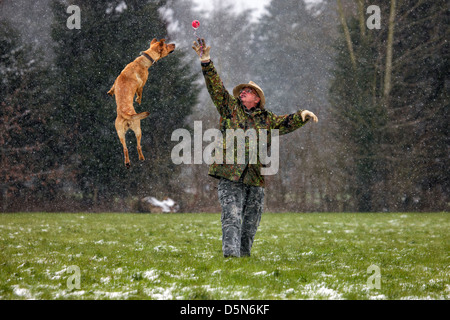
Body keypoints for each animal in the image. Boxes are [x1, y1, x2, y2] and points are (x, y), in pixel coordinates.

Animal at [107, 38, 176, 168]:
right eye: (166, 45)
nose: (174, 44)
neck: (142, 60)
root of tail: (125, 114)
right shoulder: (141, 85)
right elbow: (140, 94)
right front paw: (138, 100)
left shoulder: (116, 80)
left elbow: (112, 86)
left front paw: (110, 92)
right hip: (138, 129)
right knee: (138, 146)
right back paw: (141, 157)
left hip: (120, 133)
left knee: (125, 149)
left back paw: (127, 163)